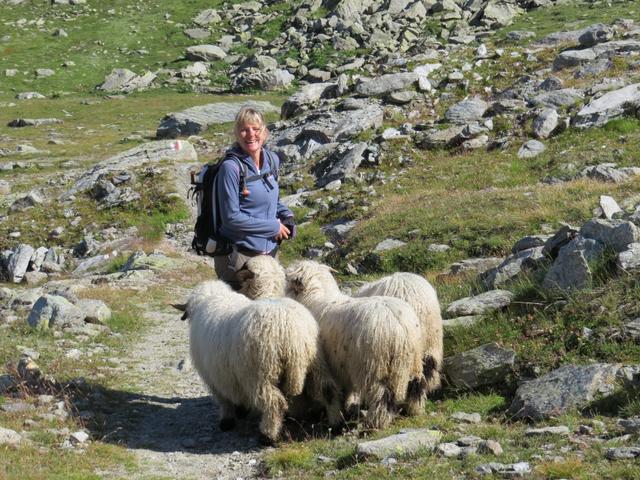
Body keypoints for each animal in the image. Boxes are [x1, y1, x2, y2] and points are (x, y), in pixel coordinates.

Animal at [185, 282, 342, 442]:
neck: (215, 297)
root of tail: (290, 330)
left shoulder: (214, 378)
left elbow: (224, 401)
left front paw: (227, 421)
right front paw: (241, 412)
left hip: (260, 373)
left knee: (273, 403)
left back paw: (267, 436)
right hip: (315, 361)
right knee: (327, 389)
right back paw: (336, 424)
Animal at [286, 260, 428, 430]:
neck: (315, 297)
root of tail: (397, 322)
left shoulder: (323, 364)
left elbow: (329, 392)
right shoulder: (340, 366)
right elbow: (344, 390)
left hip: (374, 367)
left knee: (381, 394)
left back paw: (376, 422)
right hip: (413, 359)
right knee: (417, 383)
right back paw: (414, 410)